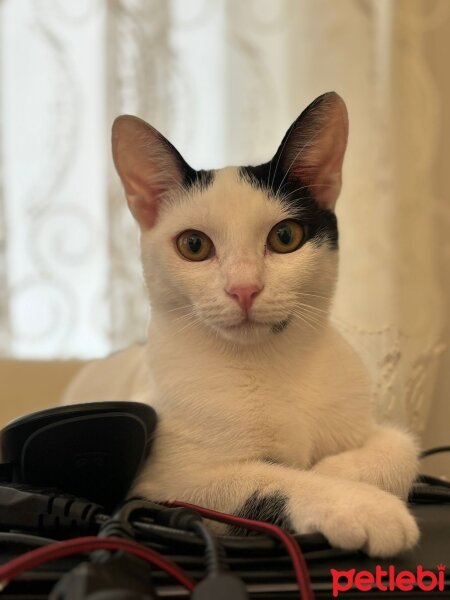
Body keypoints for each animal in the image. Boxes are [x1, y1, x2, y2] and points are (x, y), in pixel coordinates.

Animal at [63, 91, 418, 556]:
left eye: (285, 237)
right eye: (194, 245)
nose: (244, 288)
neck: (273, 362)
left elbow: (403, 447)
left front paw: (338, 469)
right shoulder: (163, 480)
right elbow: (267, 476)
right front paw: (359, 504)